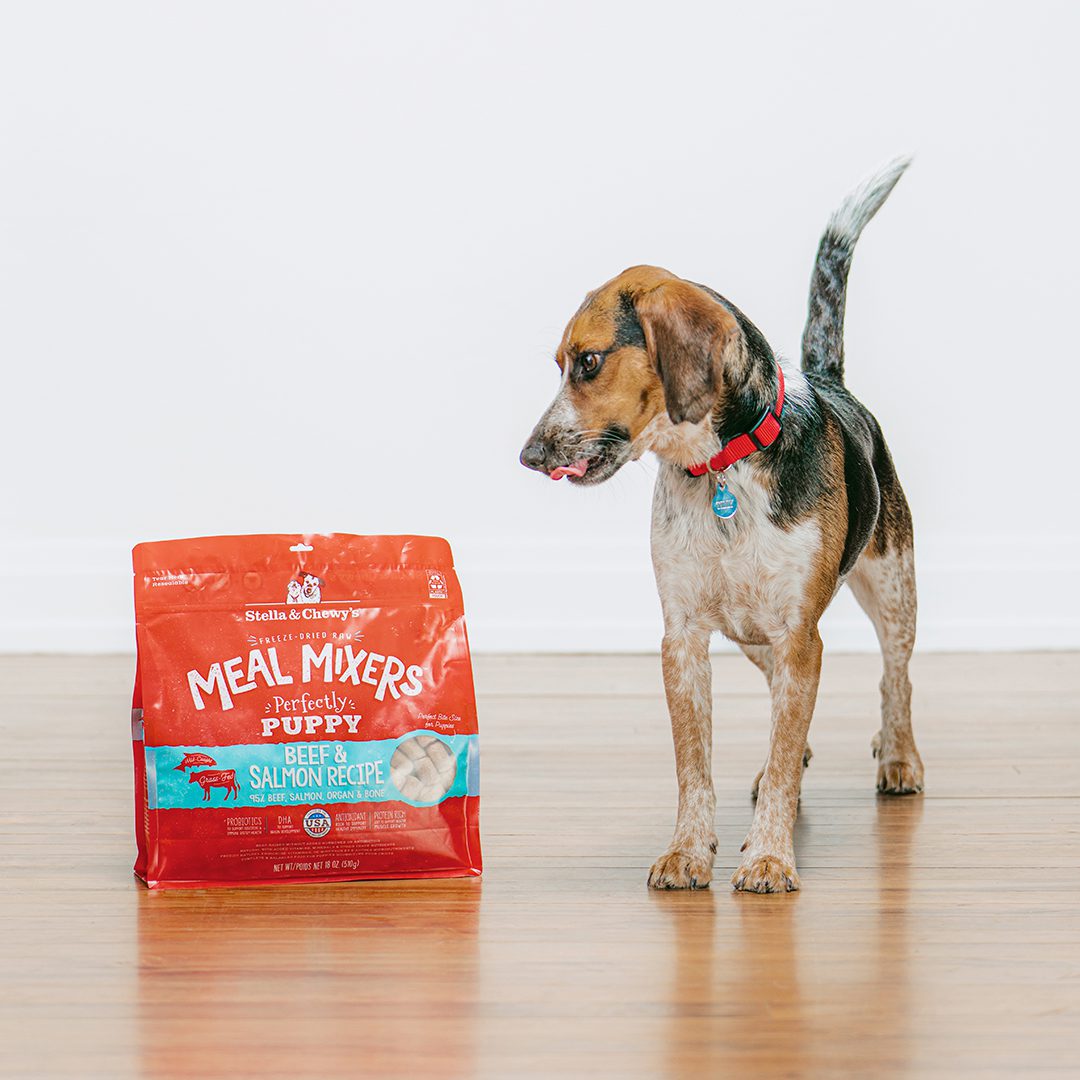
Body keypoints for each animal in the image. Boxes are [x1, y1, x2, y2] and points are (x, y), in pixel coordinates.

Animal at [518, 156, 924, 889]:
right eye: (561, 365)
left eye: (588, 361)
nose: (529, 456)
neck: (718, 473)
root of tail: (829, 379)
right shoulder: (682, 639)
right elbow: (695, 764)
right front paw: (688, 850)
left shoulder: (800, 635)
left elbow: (790, 744)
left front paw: (768, 857)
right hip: (752, 634)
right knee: (786, 718)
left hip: (892, 586)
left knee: (894, 677)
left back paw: (898, 756)